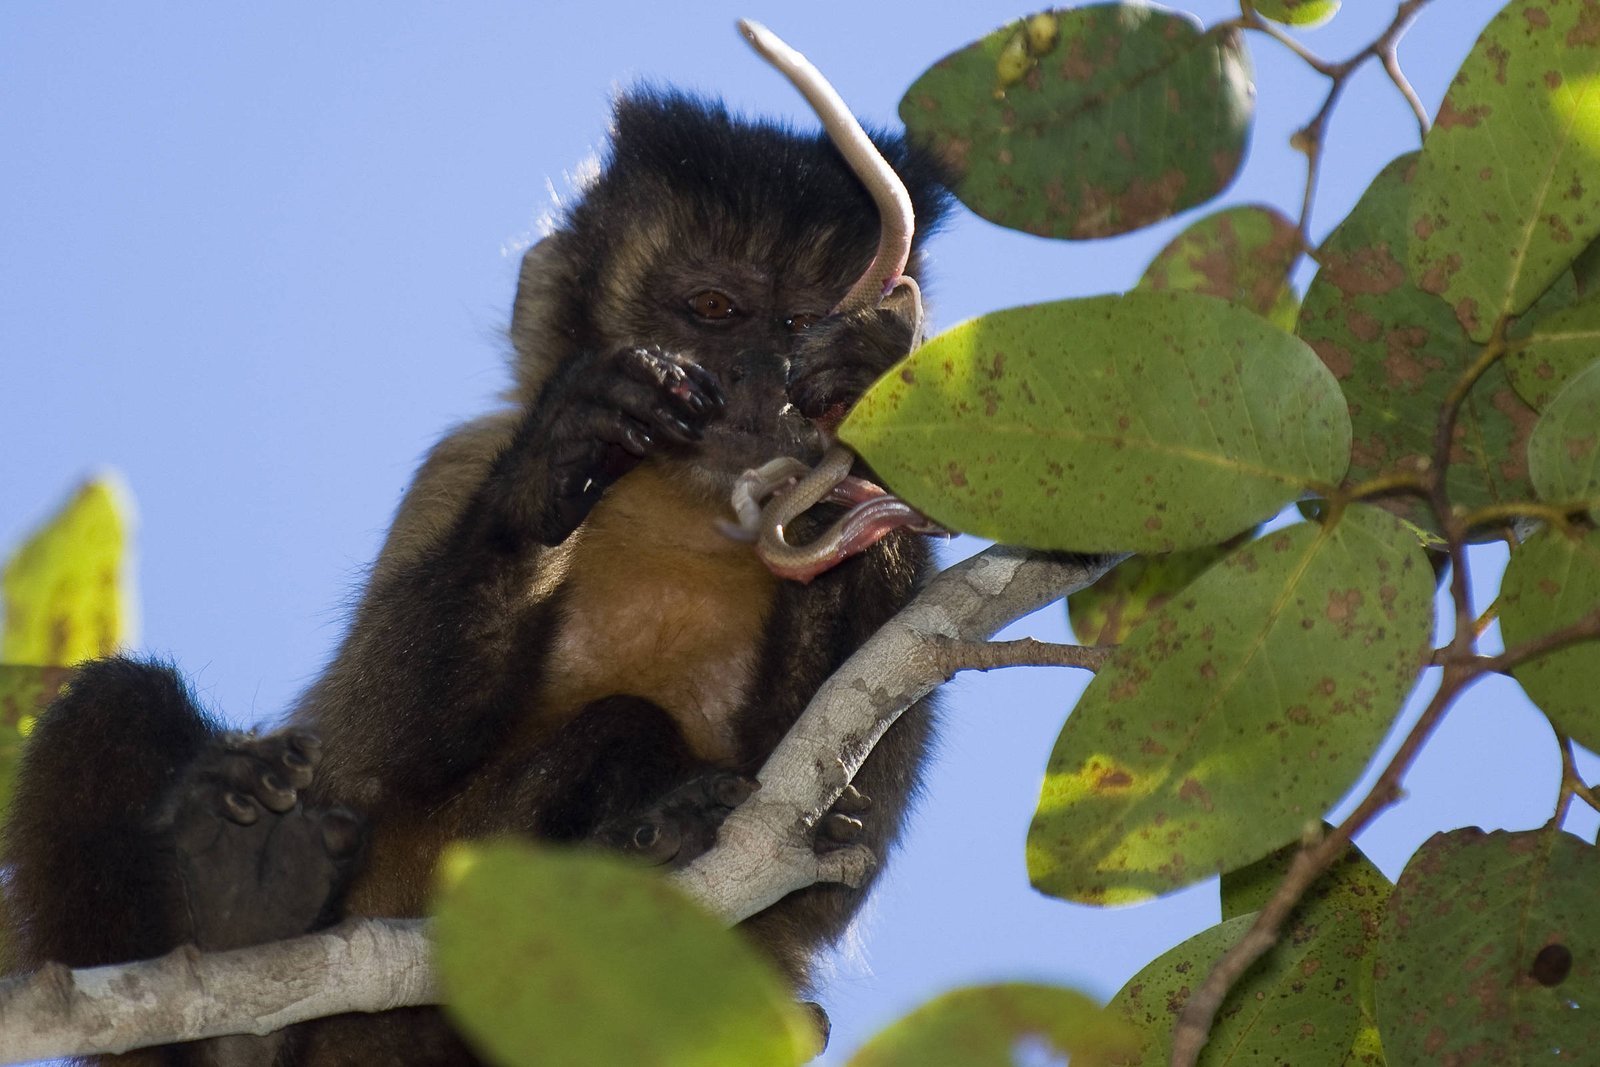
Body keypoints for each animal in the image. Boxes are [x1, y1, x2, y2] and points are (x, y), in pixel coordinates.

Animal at [4, 88, 951, 1065]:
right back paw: (239, 942)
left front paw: (870, 394)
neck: (679, 507)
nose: (763, 381)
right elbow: (372, 752)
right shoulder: (459, 460)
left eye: (800, 327)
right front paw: (552, 467)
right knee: (117, 701)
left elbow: (831, 857)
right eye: (714, 308)